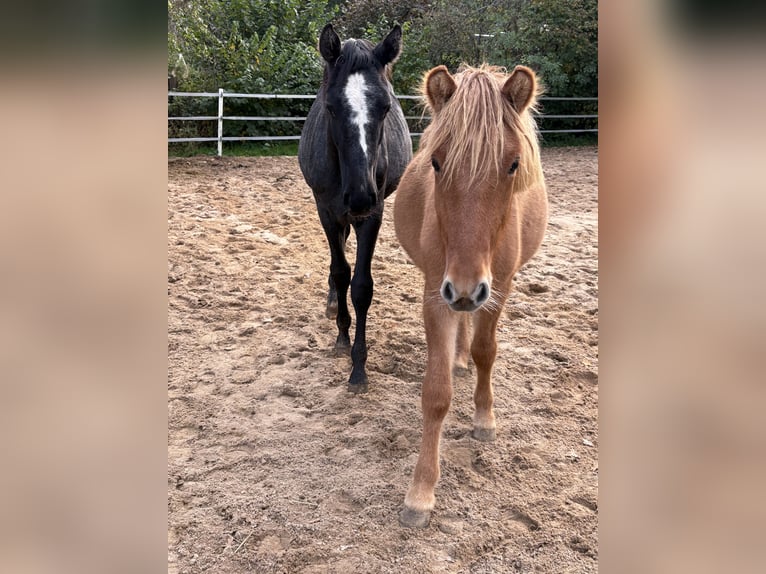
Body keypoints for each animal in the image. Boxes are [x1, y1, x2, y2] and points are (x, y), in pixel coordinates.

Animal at [299, 24, 413, 393]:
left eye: (386, 107)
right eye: (331, 108)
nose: (361, 195)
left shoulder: (373, 215)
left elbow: (361, 286)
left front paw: (359, 366)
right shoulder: (326, 209)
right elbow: (340, 270)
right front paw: (341, 338)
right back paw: (333, 300)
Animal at [393, 64, 548, 527]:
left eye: (513, 164)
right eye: (436, 163)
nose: (464, 286)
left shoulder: (498, 288)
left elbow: (485, 352)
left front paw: (484, 419)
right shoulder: (436, 292)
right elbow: (436, 393)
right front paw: (420, 492)